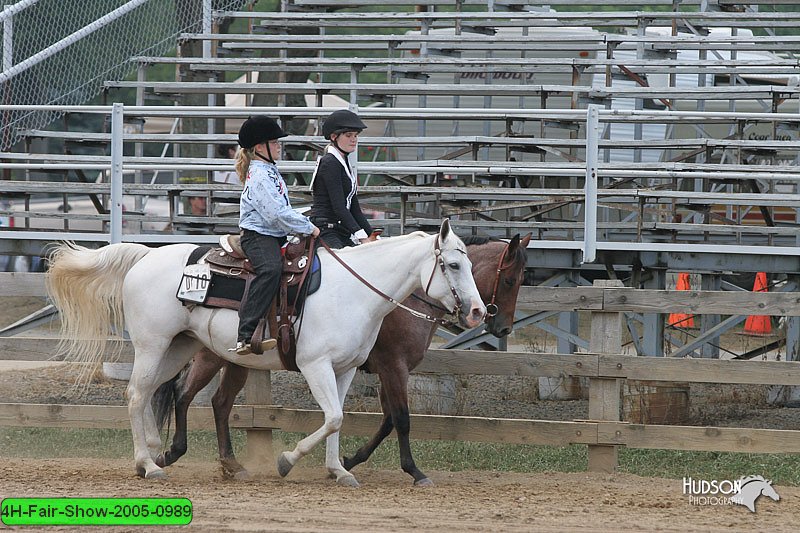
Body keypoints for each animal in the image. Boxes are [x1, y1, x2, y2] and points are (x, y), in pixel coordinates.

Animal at [47, 218, 484, 484]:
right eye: (453, 265)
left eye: (470, 264)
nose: (479, 311)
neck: (354, 291)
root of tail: (147, 254)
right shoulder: (318, 365)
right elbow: (337, 418)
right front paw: (287, 461)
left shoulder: (344, 369)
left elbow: (339, 420)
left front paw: (338, 470)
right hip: (153, 344)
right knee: (138, 393)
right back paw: (147, 464)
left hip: (181, 347)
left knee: (158, 392)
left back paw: (160, 454)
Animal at [155, 232, 532, 482]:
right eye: (510, 280)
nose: (495, 322)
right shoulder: (392, 367)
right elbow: (399, 418)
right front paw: (413, 470)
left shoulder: (371, 370)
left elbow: (384, 420)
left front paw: (346, 462)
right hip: (211, 356)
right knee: (183, 394)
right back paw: (172, 453)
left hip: (236, 361)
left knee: (219, 402)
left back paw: (230, 465)